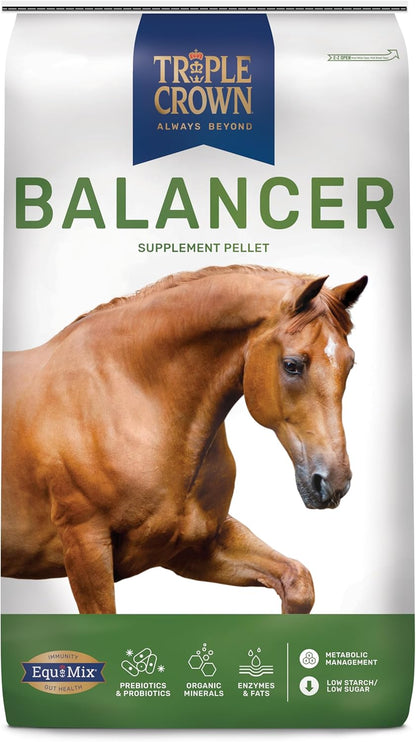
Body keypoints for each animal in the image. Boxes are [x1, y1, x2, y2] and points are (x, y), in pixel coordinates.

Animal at [1, 265, 367, 614]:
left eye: (349, 364)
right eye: (292, 365)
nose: (334, 482)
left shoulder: (194, 547)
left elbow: (298, 582)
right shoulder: (85, 547)